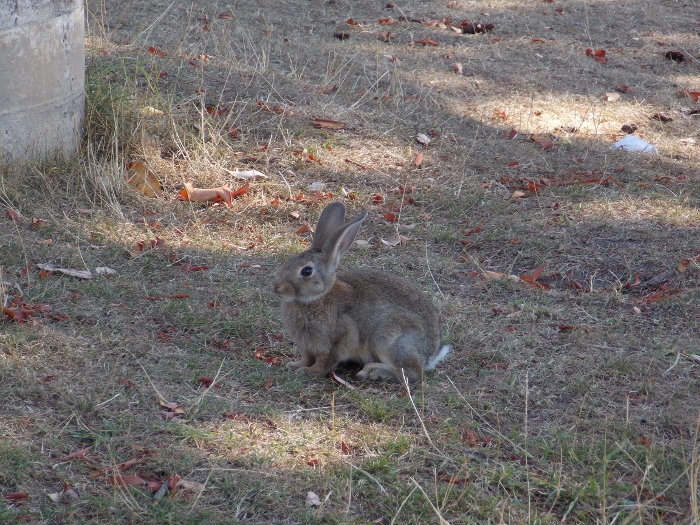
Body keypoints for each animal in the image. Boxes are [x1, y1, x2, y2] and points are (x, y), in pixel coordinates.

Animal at [270, 201, 452, 380]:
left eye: (307, 271)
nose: (276, 287)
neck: (318, 297)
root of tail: (430, 353)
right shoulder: (308, 347)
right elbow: (306, 358)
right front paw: (294, 365)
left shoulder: (338, 339)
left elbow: (325, 363)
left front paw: (307, 371)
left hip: (387, 337)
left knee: (412, 373)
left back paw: (373, 371)